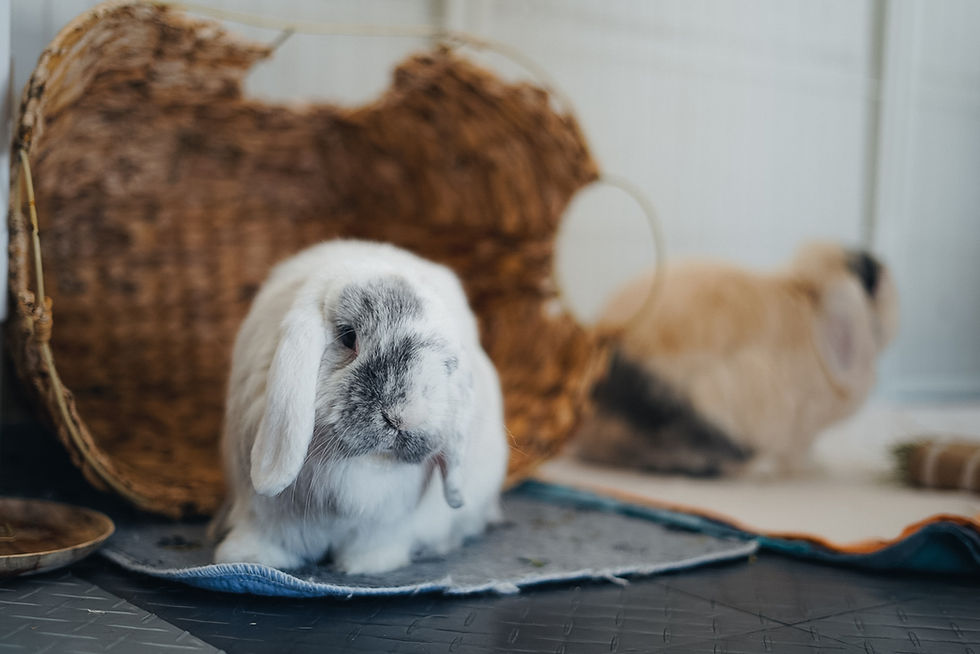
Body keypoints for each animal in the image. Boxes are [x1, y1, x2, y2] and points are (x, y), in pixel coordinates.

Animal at [212, 239, 508, 574]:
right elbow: (268, 537)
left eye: (447, 363)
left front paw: (365, 566)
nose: (405, 417)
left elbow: (375, 547)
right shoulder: (265, 514)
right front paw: (247, 557)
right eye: (347, 335)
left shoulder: (385, 526)